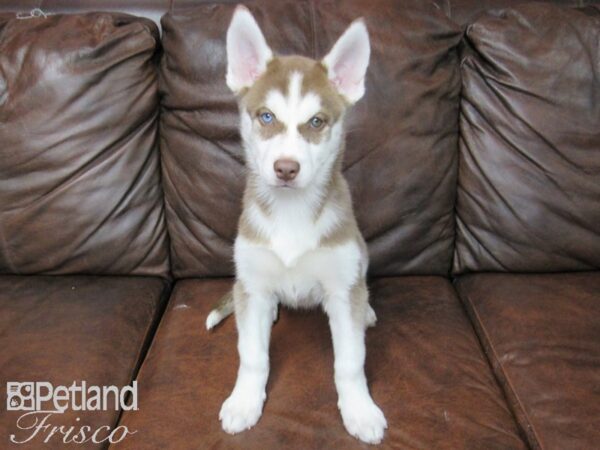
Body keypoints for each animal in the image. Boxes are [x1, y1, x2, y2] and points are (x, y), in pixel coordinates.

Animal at [204, 5, 386, 444]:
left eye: (317, 122)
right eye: (266, 117)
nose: (286, 168)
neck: (292, 213)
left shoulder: (341, 285)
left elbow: (350, 361)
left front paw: (359, 409)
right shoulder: (252, 282)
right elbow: (251, 355)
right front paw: (244, 402)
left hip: (362, 252)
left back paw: (368, 310)